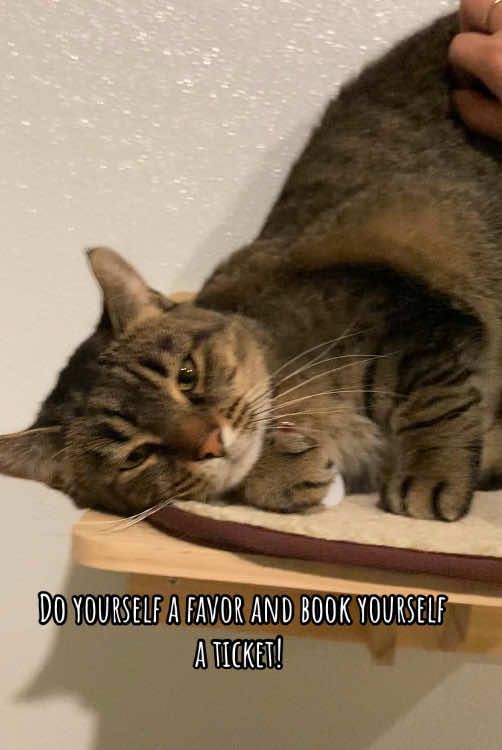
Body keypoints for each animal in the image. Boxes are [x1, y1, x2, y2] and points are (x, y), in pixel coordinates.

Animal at [2, 11, 502, 522]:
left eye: (186, 375)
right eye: (137, 455)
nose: (211, 442)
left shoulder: (412, 323)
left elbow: (436, 405)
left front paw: (430, 478)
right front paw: (282, 472)